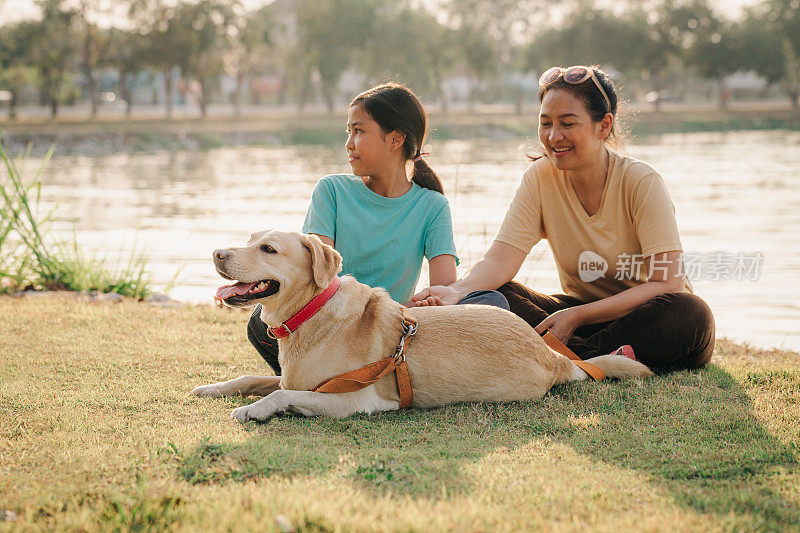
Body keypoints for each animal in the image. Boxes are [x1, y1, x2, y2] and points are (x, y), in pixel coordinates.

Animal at [191, 229, 652, 420]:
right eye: (249, 241)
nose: (216, 253)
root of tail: (552, 355)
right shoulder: (294, 378)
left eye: (268, 249)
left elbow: (278, 396)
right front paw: (213, 387)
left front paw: (251, 410)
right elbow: (253, 378)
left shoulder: (357, 400)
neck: (311, 314)